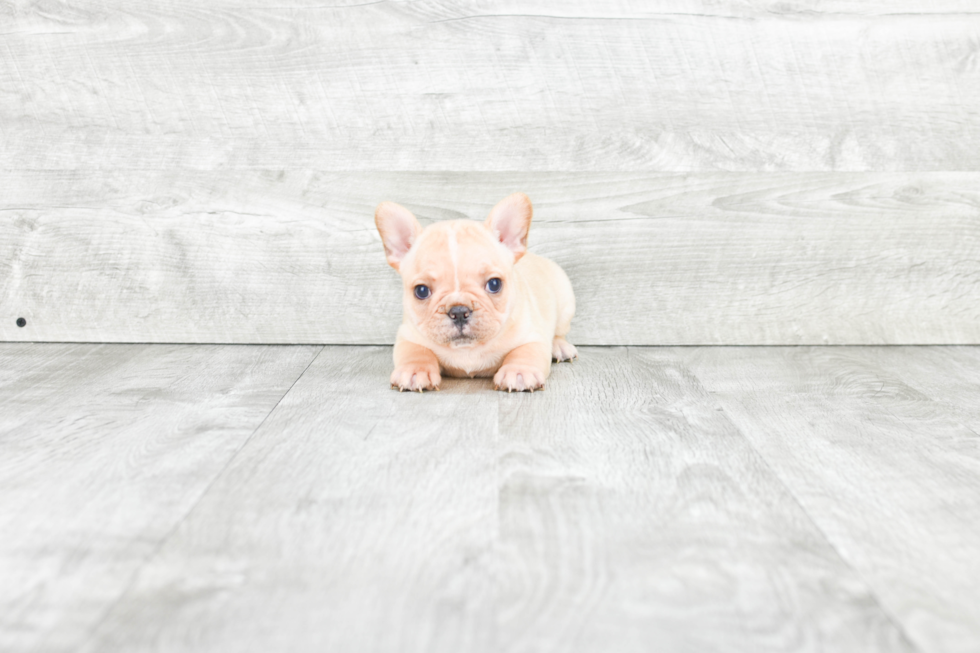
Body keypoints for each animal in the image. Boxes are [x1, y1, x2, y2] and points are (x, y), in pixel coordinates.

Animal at [374, 191, 576, 390]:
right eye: (421, 291)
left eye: (494, 284)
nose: (459, 311)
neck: (467, 349)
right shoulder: (408, 336)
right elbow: (416, 352)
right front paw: (414, 371)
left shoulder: (532, 335)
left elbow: (525, 352)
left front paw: (519, 372)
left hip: (565, 303)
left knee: (559, 332)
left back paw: (560, 347)